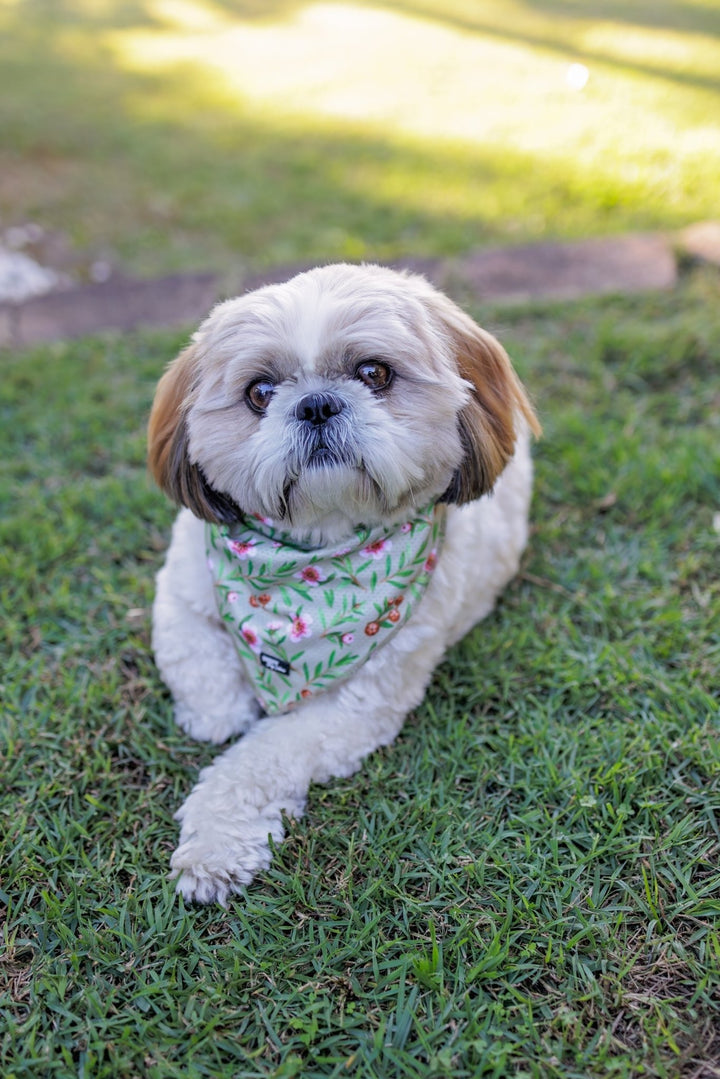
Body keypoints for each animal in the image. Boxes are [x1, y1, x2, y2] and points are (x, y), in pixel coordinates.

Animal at [147, 261, 539, 902]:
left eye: (373, 373)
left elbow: (261, 757)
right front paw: (219, 712)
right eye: (260, 393)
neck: (308, 565)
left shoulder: (356, 706)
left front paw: (214, 846)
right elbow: (195, 658)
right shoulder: (182, 586)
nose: (316, 404)